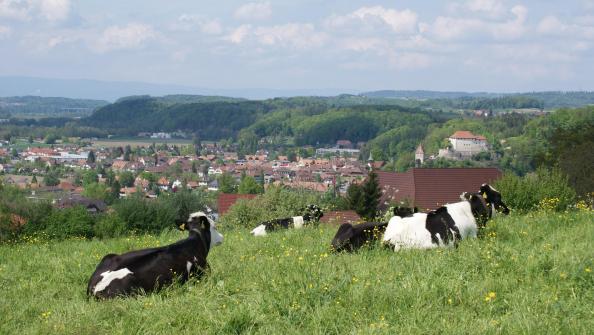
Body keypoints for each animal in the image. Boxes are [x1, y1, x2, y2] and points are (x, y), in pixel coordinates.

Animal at [84, 213, 221, 300]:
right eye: (214, 227)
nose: (221, 237)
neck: (195, 242)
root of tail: (95, 288)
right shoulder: (204, 274)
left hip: (109, 256)